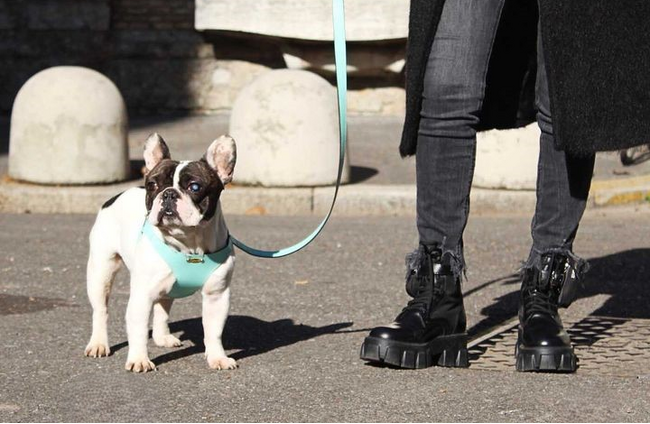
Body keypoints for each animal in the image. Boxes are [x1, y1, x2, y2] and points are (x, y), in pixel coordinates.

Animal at [84, 132, 238, 372]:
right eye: (153, 185)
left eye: (195, 187)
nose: (168, 194)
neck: (189, 244)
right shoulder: (141, 294)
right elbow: (137, 328)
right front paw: (139, 359)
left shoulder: (217, 295)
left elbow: (214, 331)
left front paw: (217, 357)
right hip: (101, 271)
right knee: (101, 310)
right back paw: (99, 343)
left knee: (162, 309)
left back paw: (162, 337)